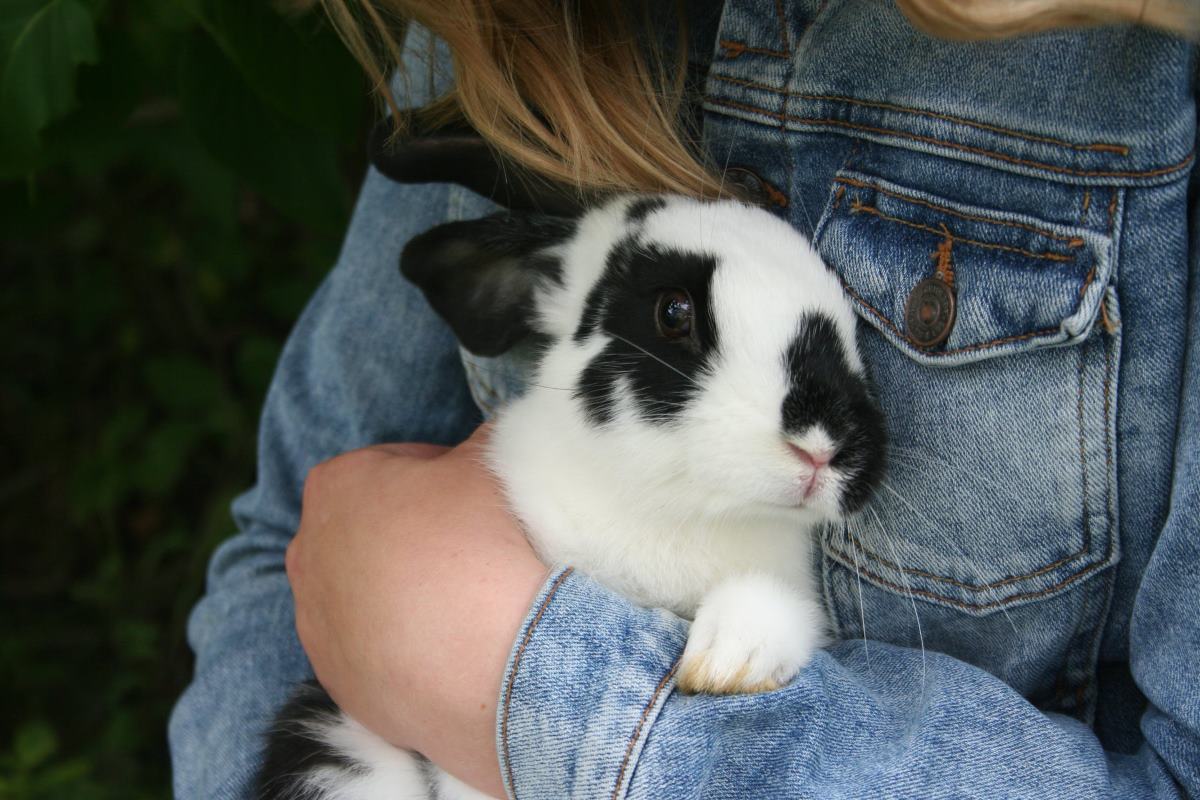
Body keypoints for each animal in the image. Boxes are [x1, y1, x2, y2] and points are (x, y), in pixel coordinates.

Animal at [254, 194, 888, 800]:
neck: (677, 512)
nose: (823, 444)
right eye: (673, 312)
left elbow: (771, 608)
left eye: (851, 330)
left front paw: (728, 662)